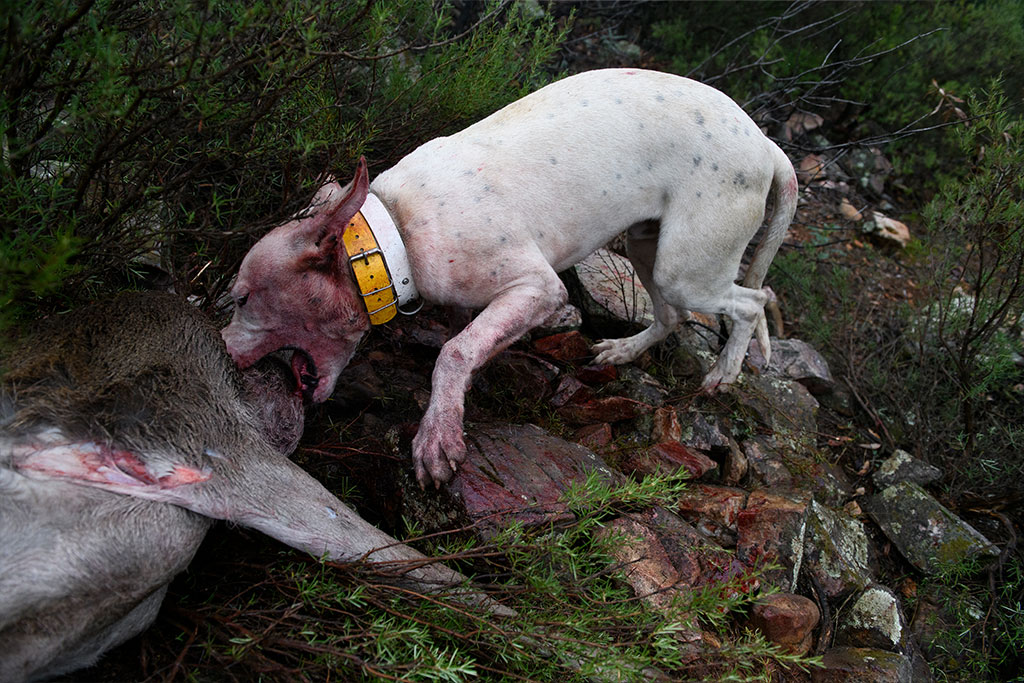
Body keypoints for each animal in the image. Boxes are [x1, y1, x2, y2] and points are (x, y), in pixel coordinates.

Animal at [221, 68, 799, 488]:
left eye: (242, 298)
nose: (221, 349)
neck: (394, 239)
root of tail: (766, 143)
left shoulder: (540, 289)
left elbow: (455, 352)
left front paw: (437, 434)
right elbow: (467, 337)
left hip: (687, 267)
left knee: (752, 298)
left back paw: (724, 372)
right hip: (647, 245)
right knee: (674, 313)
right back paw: (622, 351)